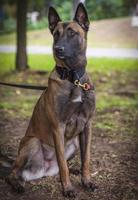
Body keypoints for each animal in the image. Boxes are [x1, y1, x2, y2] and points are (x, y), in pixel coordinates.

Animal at [6, 3, 96, 198]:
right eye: (56, 34)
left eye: (72, 33)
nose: (57, 49)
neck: (73, 78)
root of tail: (45, 169)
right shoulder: (58, 127)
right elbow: (63, 165)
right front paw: (68, 188)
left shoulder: (87, 126)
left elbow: (86, 159)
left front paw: (86, 180)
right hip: (32, 142)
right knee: (14, 173)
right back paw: (17, 185)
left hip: (74, 143)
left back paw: (74, 170)